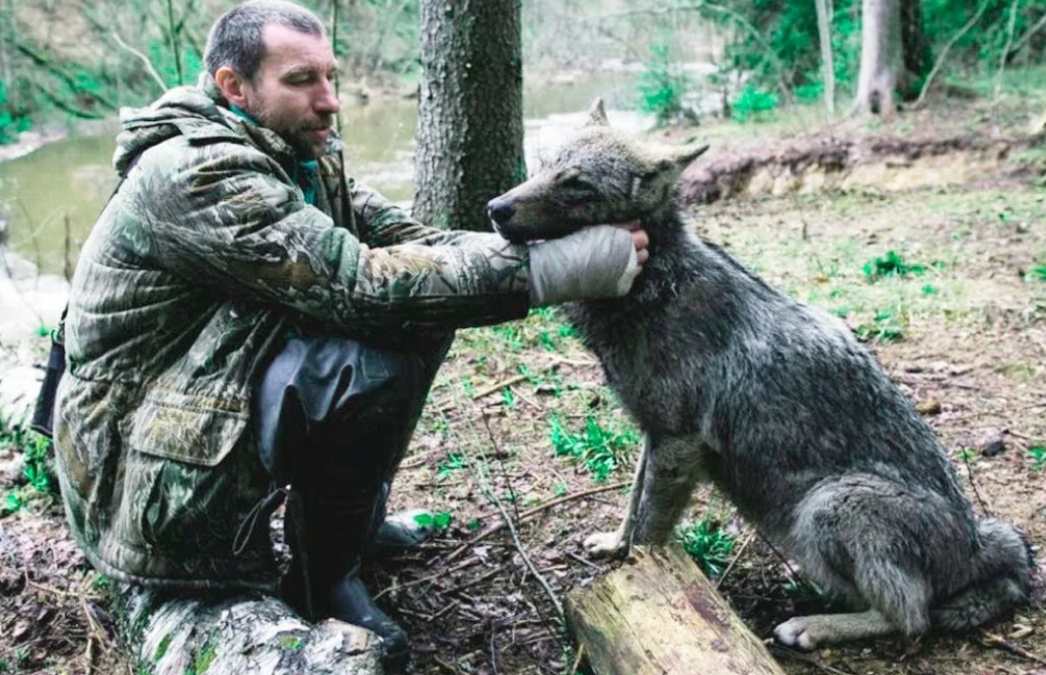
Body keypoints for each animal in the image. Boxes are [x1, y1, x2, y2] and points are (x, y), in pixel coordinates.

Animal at [487, 98, 1029, 648]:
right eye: (545, 165)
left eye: (578, 185)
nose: (495, 207)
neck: (656, 283)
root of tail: (976, 545)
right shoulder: (654, 435)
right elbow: (632, 501)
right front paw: (614, 546)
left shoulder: (678, 442)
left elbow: (649, 531)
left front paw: (640, 583)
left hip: (831, 504)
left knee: (911, 619)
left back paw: (811, 627)